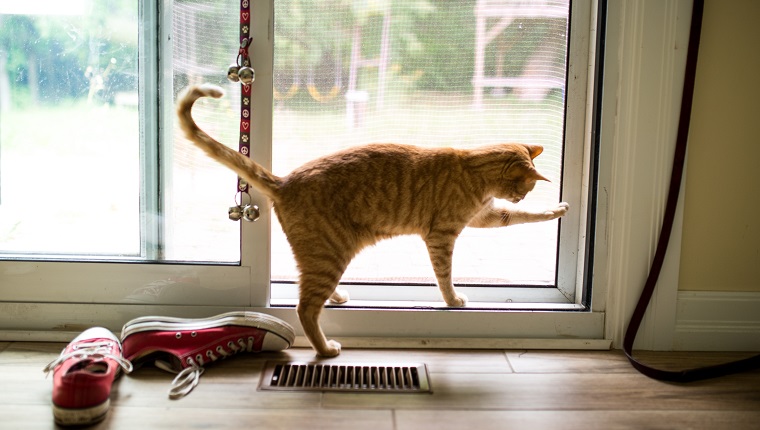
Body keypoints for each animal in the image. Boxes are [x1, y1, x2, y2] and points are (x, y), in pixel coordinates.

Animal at [180, 83, 568, 356]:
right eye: (526, 187)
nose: (522, 195)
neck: (473, 168)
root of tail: (285, 180)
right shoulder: (442, 235)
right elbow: (444, 275)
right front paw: (453, 300)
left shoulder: (487, 216)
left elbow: (522, 218)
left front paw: (557, 210)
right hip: (332, 253)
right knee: (305, 307)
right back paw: (325, 350)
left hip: (321, 255)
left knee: (301, 282)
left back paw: (336, 298)